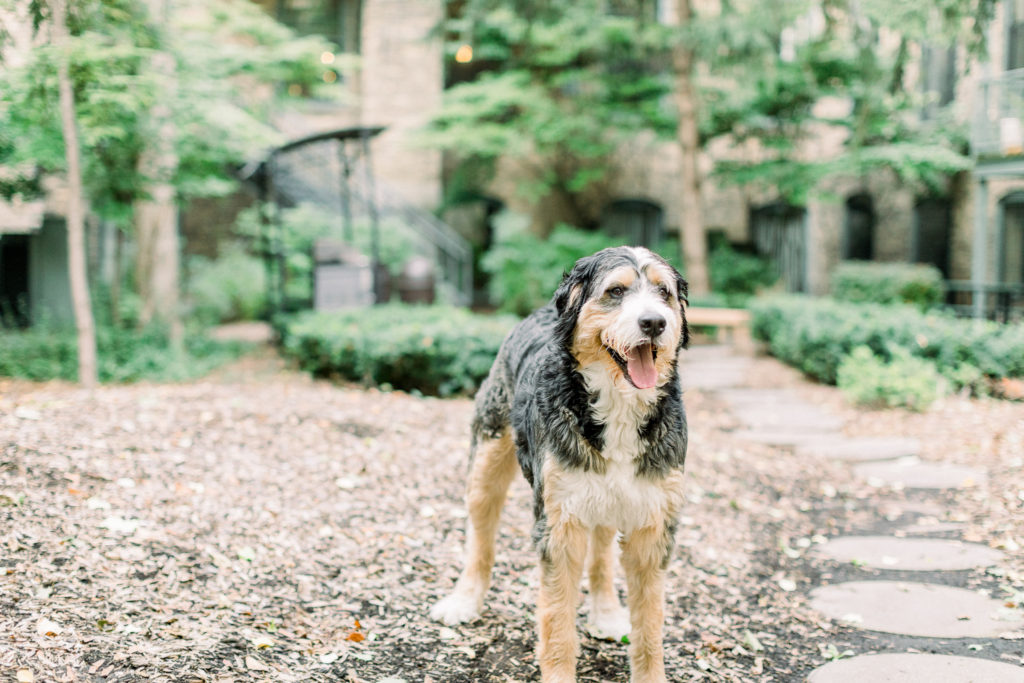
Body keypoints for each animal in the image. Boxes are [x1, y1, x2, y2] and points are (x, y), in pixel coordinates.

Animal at [432, 246, 688, 683]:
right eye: (616, 291)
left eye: (663, 292)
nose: (655, 322)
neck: (618, 408)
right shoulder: (560, 523)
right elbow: (557, 623)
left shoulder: (653, 526)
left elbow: (651, 627)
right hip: (486, 466)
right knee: (480, 537)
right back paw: (464, 601)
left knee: (601, 554)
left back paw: (607, 613)